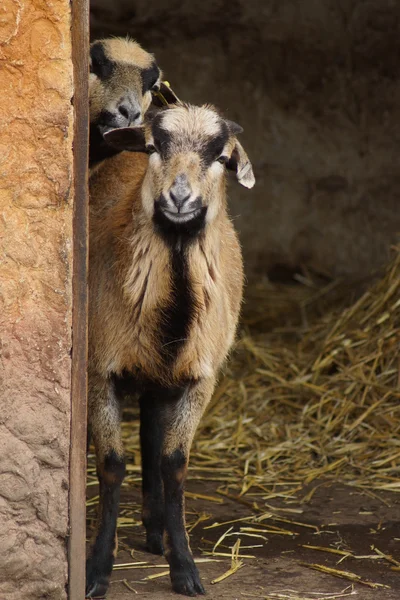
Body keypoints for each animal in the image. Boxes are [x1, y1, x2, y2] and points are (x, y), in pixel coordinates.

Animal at [86, 104, 255, 600]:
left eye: (222, 157)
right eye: (153, 147)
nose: (179, 198)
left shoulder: (201, 379)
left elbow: (174, 464)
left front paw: (185, 569)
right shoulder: (99, 372)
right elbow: (111, 465)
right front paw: (97, 568)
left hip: (162, 379)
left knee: (152, 438)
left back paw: (156, 530)